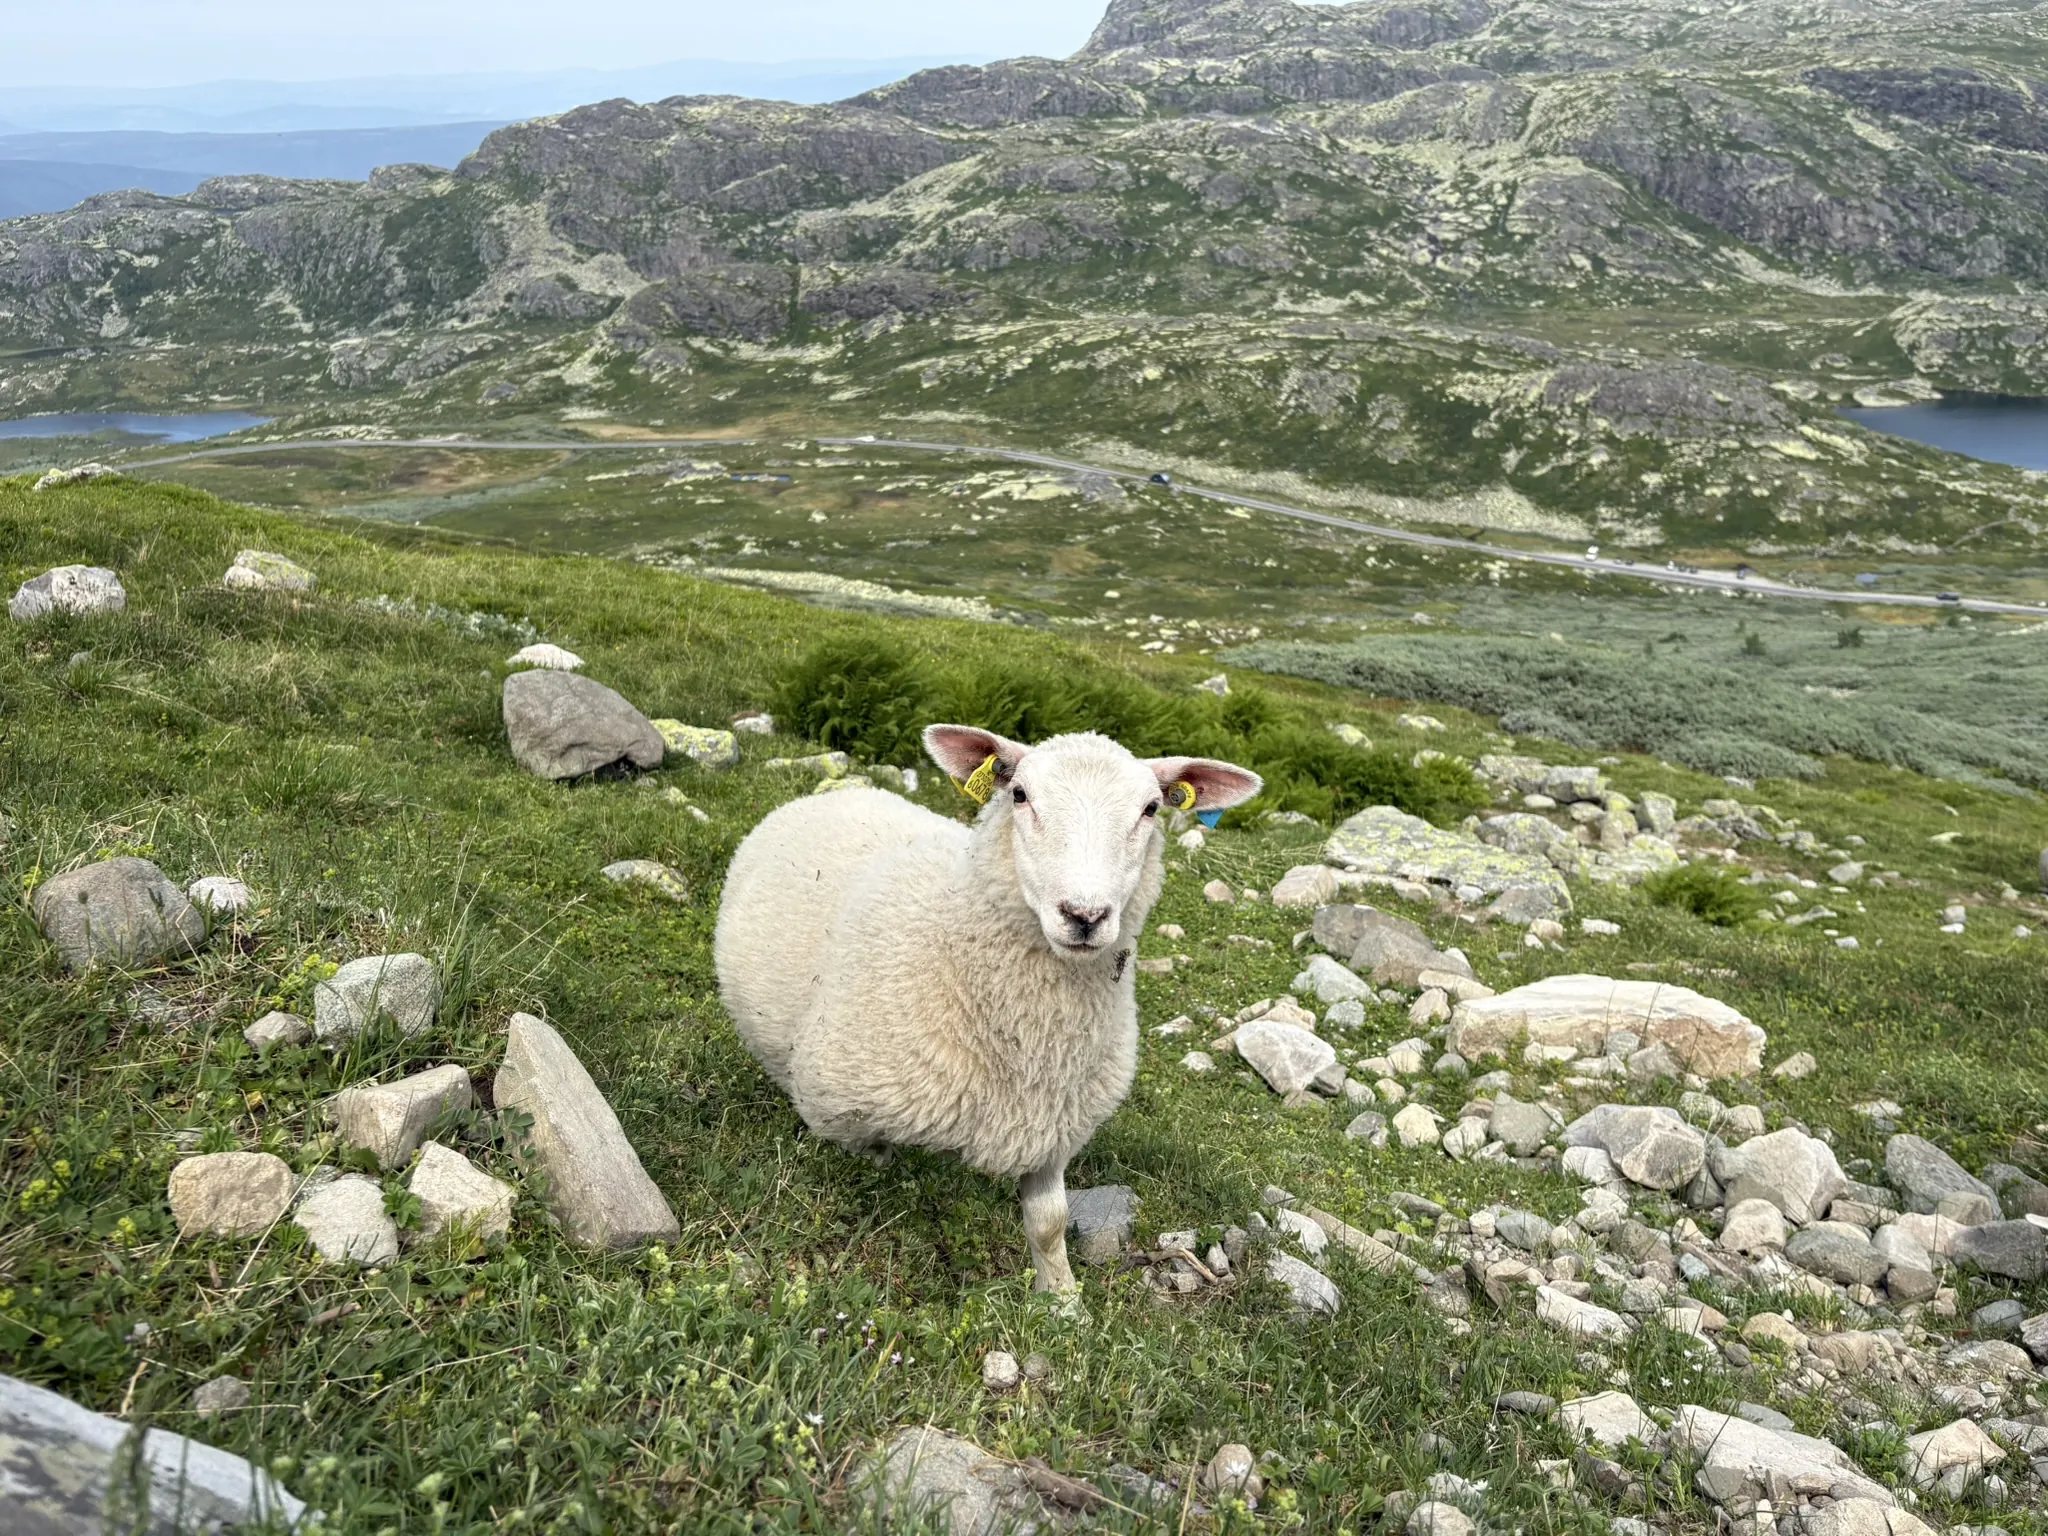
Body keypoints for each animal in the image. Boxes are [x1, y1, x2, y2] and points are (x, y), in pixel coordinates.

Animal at [715, 723, 1262, 1293]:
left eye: (1151, 808)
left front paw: (1062, 1299)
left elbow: (1050, 1221)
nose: (1084, 915)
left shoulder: (1055, 1127)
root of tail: (841, 792)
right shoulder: (845, 1113)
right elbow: (875, 1168)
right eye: (1019, 795)